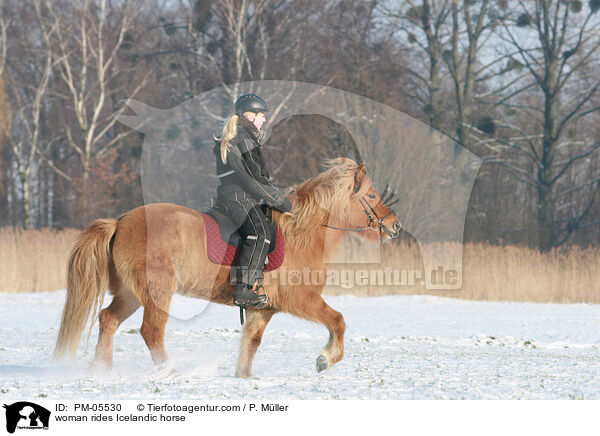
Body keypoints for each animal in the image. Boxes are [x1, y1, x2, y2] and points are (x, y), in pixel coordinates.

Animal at [51, 158, 398, 378]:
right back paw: (169, 371)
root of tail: (120, 222)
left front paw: (244, 377)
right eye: (371, 195)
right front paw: (325, 360)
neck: (301, 233)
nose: (394, 226)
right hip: (156, 292)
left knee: (108, 320)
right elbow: (338, 321)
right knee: (151, 330)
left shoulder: (263, 308)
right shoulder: (301, 299)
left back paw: (102, 370)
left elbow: (250, 344)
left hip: (130, 294)